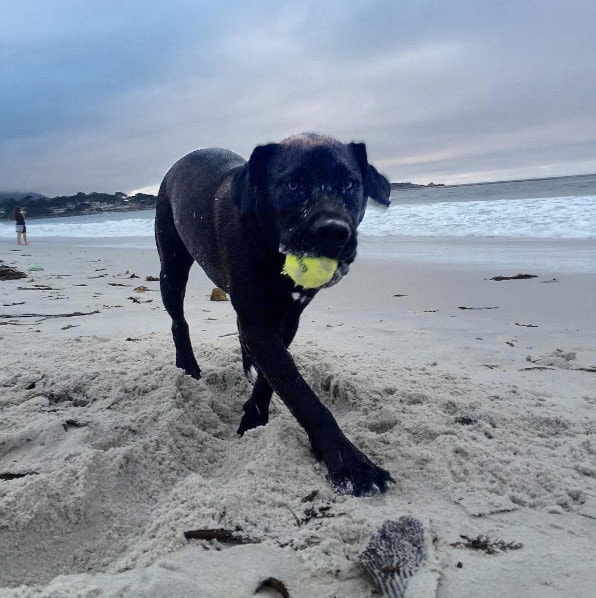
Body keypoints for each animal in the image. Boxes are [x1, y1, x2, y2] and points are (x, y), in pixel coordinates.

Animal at [156, 135, 394, 496]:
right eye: (293, 184)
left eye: (350, 184)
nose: (333, 232)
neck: (269, 245)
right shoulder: (258, 321)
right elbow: (300, 392)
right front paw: (350, 462)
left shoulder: (286, 318)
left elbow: (273, 377)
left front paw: (254, 416)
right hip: (171, 265)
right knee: (177, 321)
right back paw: (187, 365)